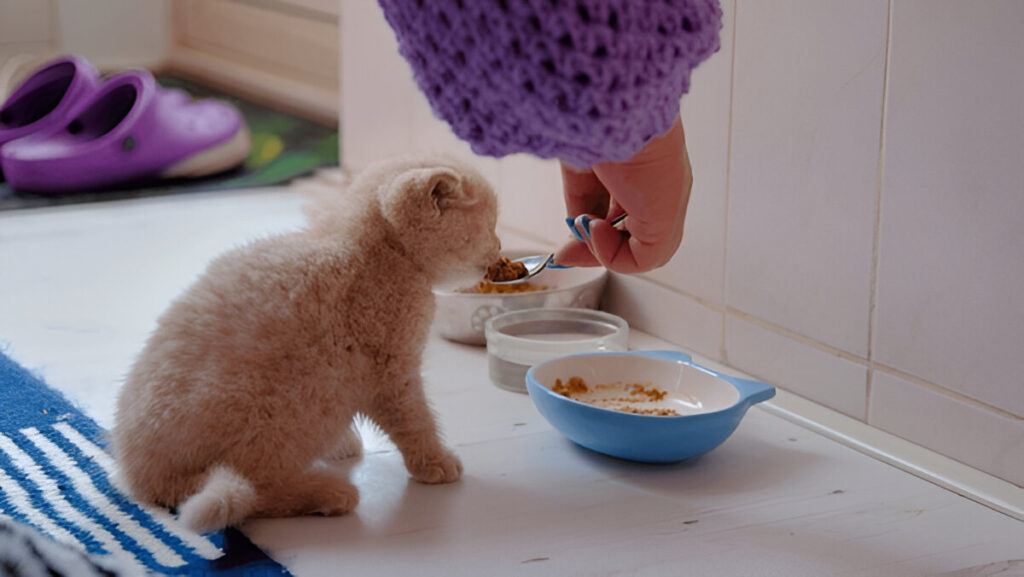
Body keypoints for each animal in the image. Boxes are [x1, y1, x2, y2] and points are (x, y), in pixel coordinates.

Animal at [114, 154, 501, 532]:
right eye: (489, 224)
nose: (499, 249)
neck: (375, 251)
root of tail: (141, 481)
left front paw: (344, 444)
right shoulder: (392, 371)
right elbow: (416, 420)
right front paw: (435, 462)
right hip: (288, 405)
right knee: (254, 493)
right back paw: (328, 493)